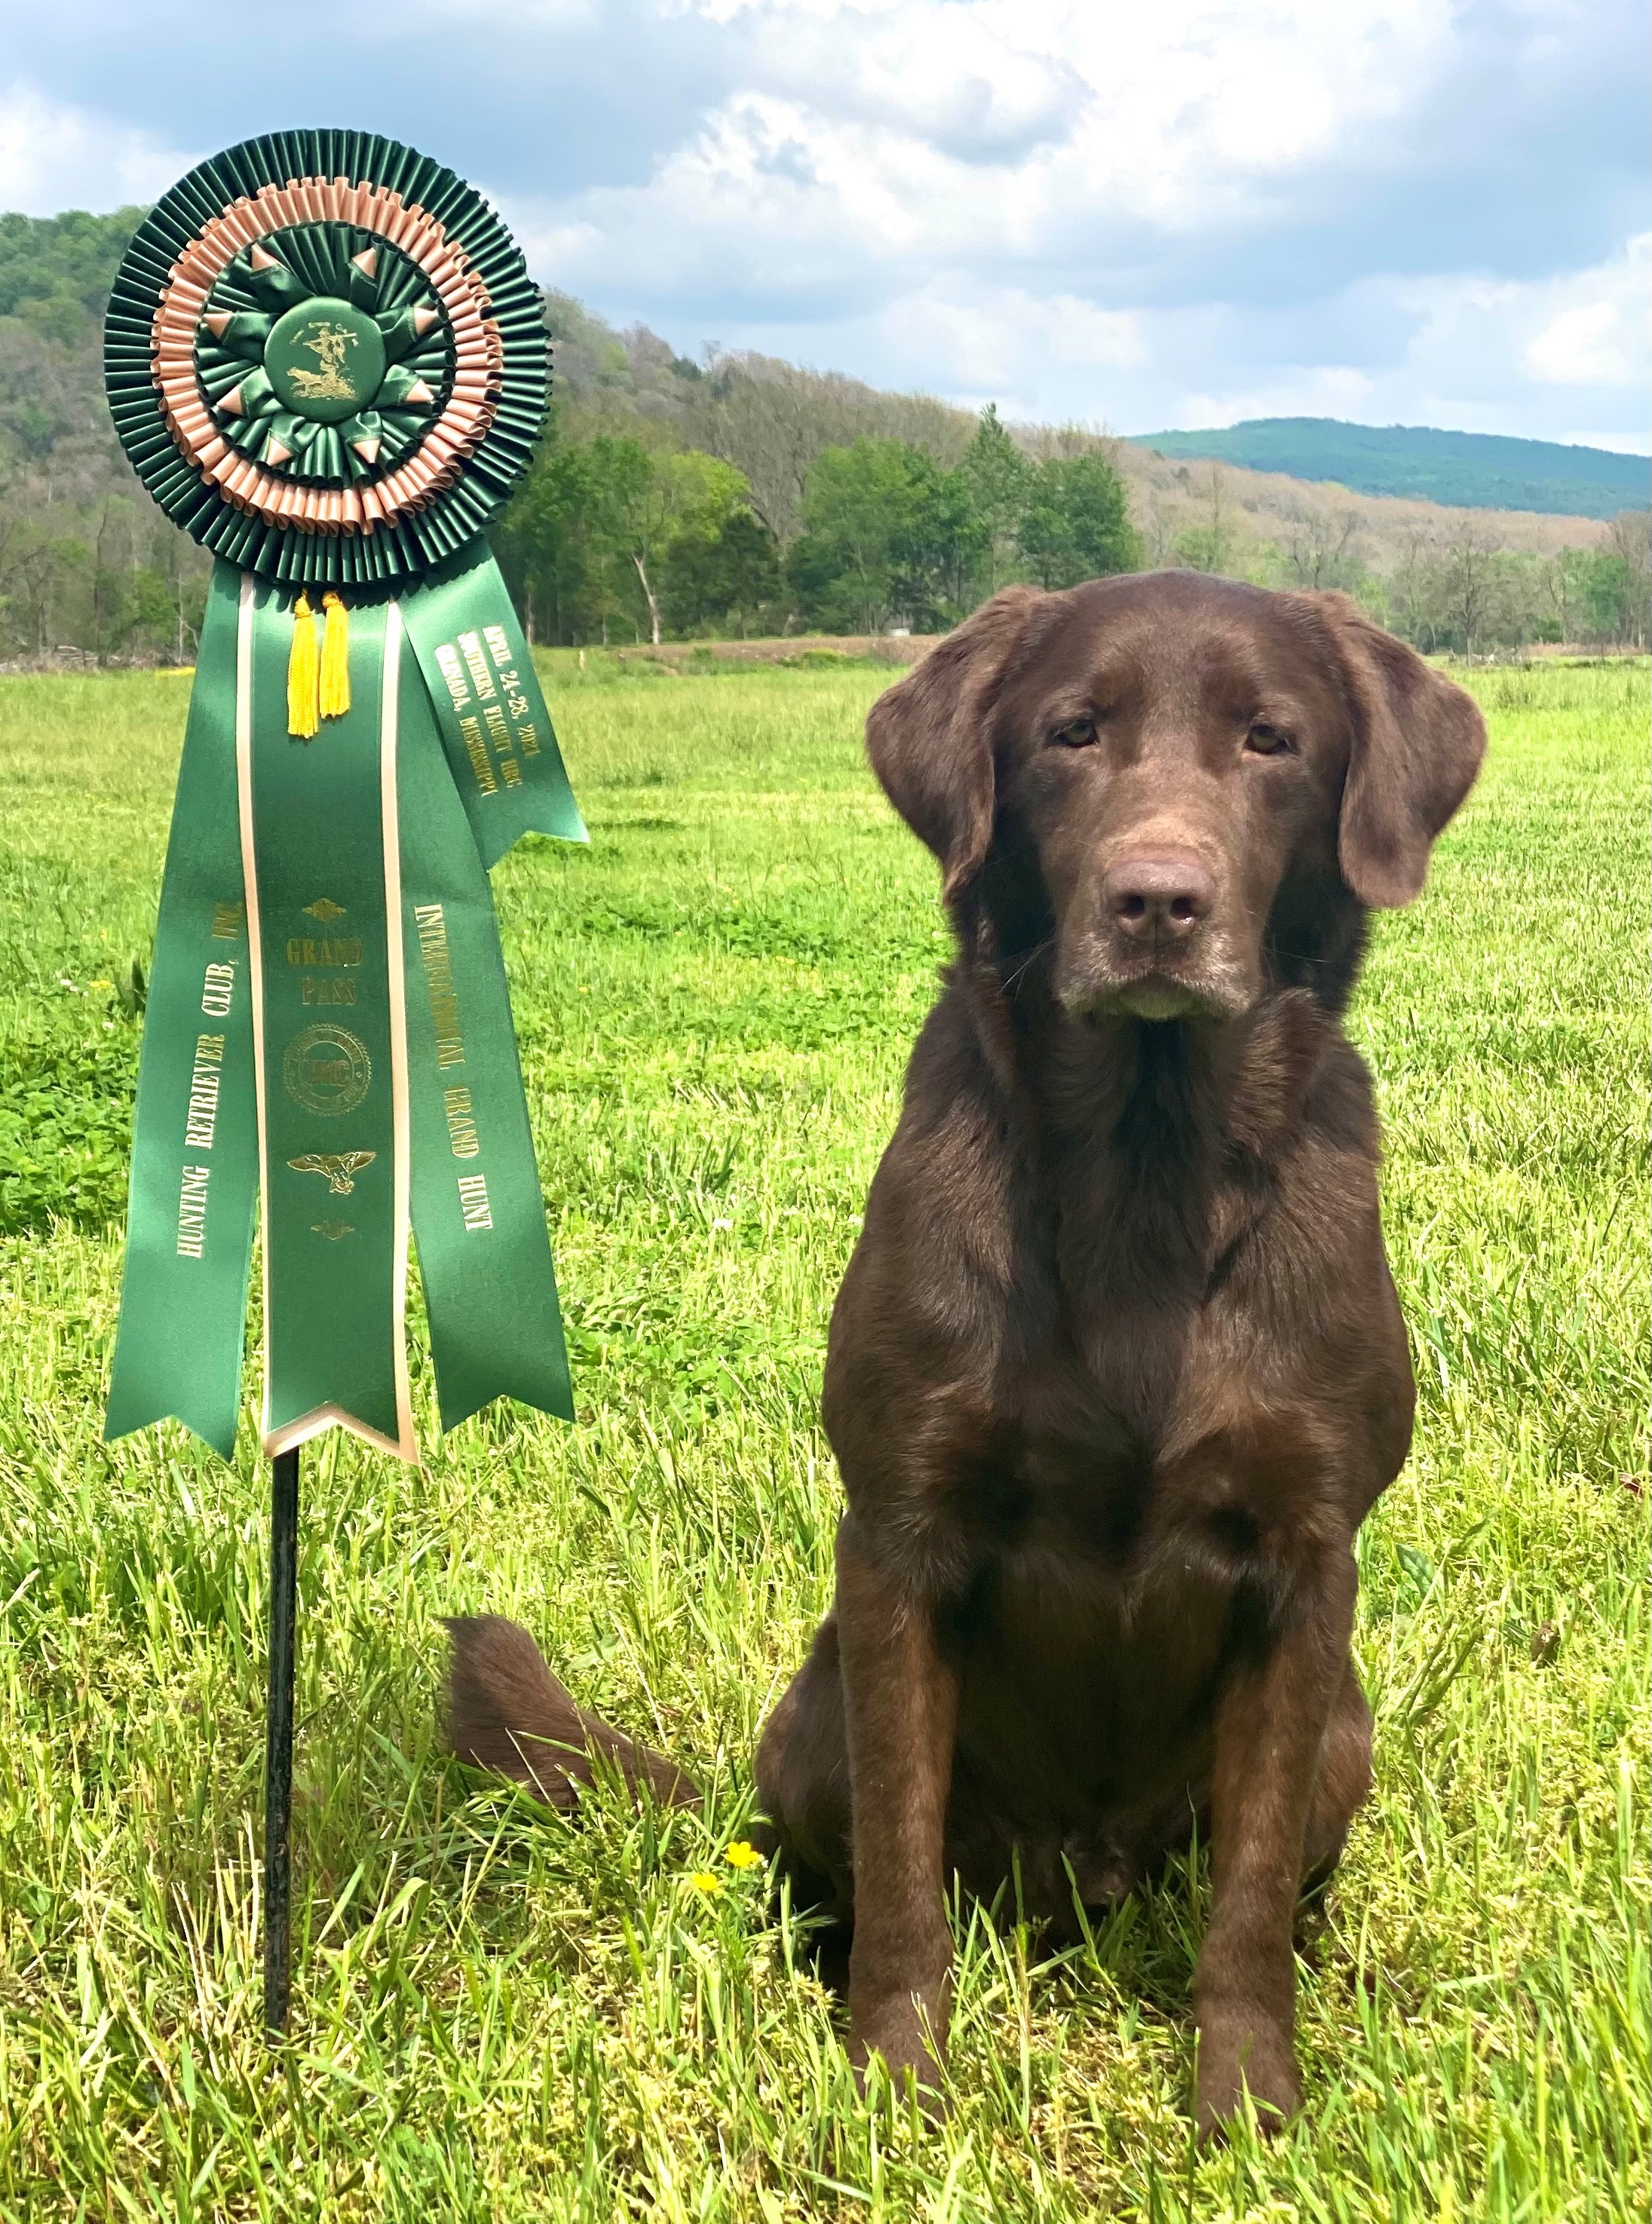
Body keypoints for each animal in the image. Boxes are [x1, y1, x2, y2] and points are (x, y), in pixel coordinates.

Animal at [449, 574, 1485, 2135]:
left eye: (1270, 739)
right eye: (1070, 733)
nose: (1157, 902)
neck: (1147, 1172)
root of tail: (1084, 1891)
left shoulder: (1307, 1559)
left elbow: (1245, 1897)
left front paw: (1249, 2106)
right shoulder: (898, 1541)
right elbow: (899, 1860)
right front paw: (895, 2080)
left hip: (1347, 1735)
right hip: (807, 1716)